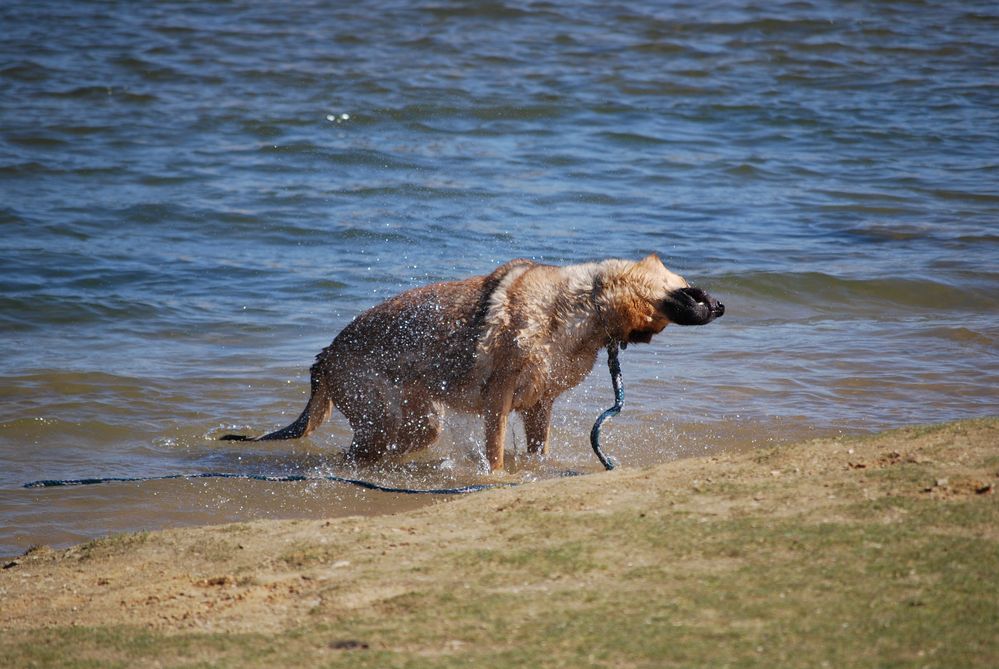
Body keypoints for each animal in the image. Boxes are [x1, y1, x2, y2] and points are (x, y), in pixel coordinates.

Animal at [223, 256, 724, 470]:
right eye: (692, 290)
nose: (720, 305)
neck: (586, 305)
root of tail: (323, 357)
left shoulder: (539, 406)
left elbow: (536, 450)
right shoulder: (497, 401)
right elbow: (497, 453)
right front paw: (496, 478)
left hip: (418, 423)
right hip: (392, 421)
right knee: (355, 454)